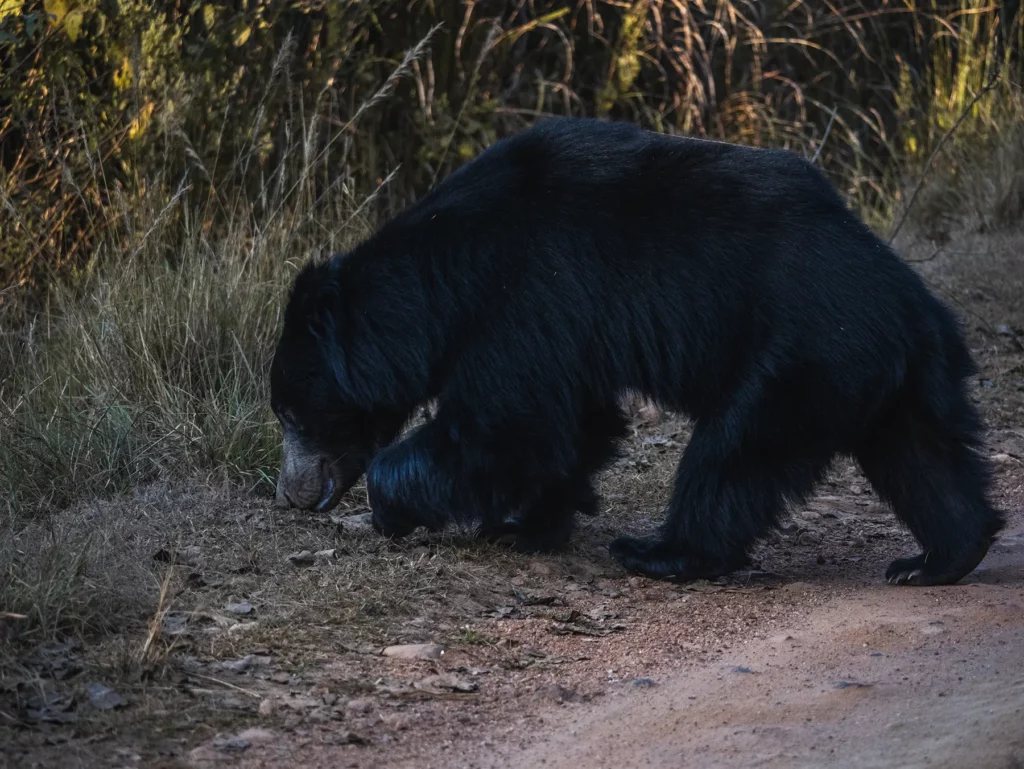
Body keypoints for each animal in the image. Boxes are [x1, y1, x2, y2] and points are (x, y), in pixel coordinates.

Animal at [270, 116, 1004, 586]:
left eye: (292, 414)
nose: (293, 495)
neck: (444, 275)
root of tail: (906, 300)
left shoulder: (523, 297)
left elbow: (507, 427)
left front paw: (392, 506)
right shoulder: (561, 326)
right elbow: (574, 425)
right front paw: (527, 524)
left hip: (801, 355)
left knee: (733, 456)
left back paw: (662, 552)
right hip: (885, 370)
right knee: (920, 455)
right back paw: (938, 558)